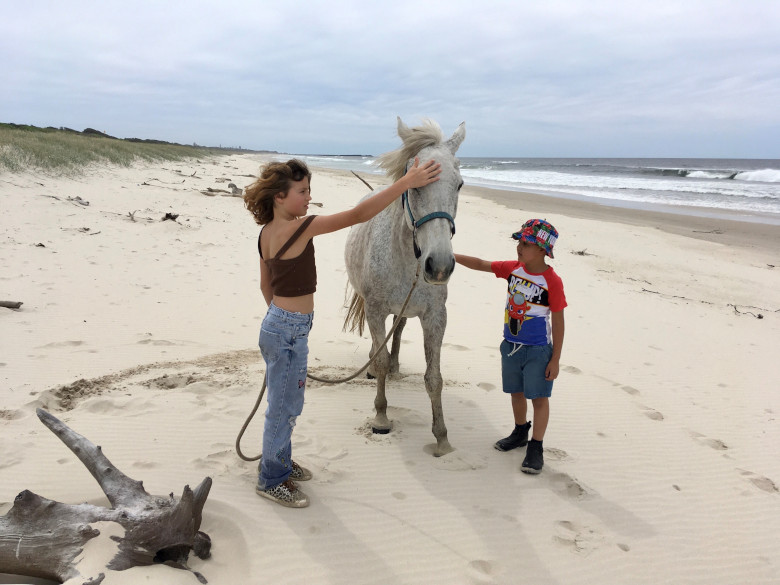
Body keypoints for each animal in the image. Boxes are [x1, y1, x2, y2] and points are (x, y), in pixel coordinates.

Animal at [344, 117, 466, 456]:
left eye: (459, 184)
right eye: (413, 184)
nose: (439, 266)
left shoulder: (435, 316)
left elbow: (434, 377)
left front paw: (442, 438)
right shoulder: (374, 310)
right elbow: (381, 361)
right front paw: (381, 417)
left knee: (396, 333)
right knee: (381, 349)